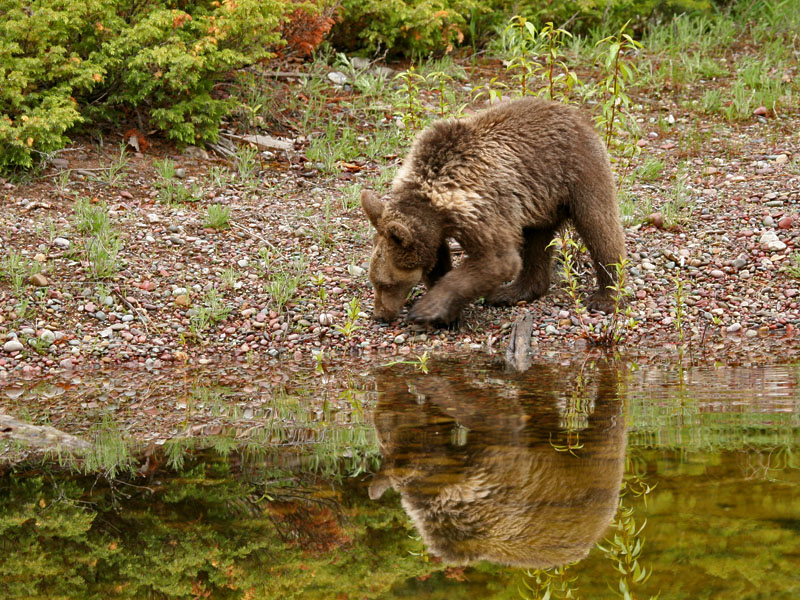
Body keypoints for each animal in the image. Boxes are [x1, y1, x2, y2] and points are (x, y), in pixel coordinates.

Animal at [360, 96, 624, 326]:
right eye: (374, 280)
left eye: (386, 283)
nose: (380, 315)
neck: (435, 202)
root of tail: (575, 114)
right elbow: (439, 258)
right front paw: (447, 315)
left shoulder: (481, 210)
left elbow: (498, 260)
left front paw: (428, 308)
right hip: (540, 202)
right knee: (535, 242)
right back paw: (512, 292)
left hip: (579, 171)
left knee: (599, 227)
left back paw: (606, 297)